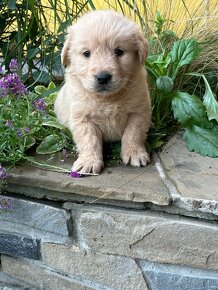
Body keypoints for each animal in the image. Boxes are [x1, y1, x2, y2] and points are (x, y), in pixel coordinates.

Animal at [54, 9, 152, 174]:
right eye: (86, 53)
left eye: (119, 51)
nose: (103, 77)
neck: (108, 98)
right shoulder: (82, 118)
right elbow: (89, 140)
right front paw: (89, 161)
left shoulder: (139, 112)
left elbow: (133, 134)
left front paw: (134, 153)